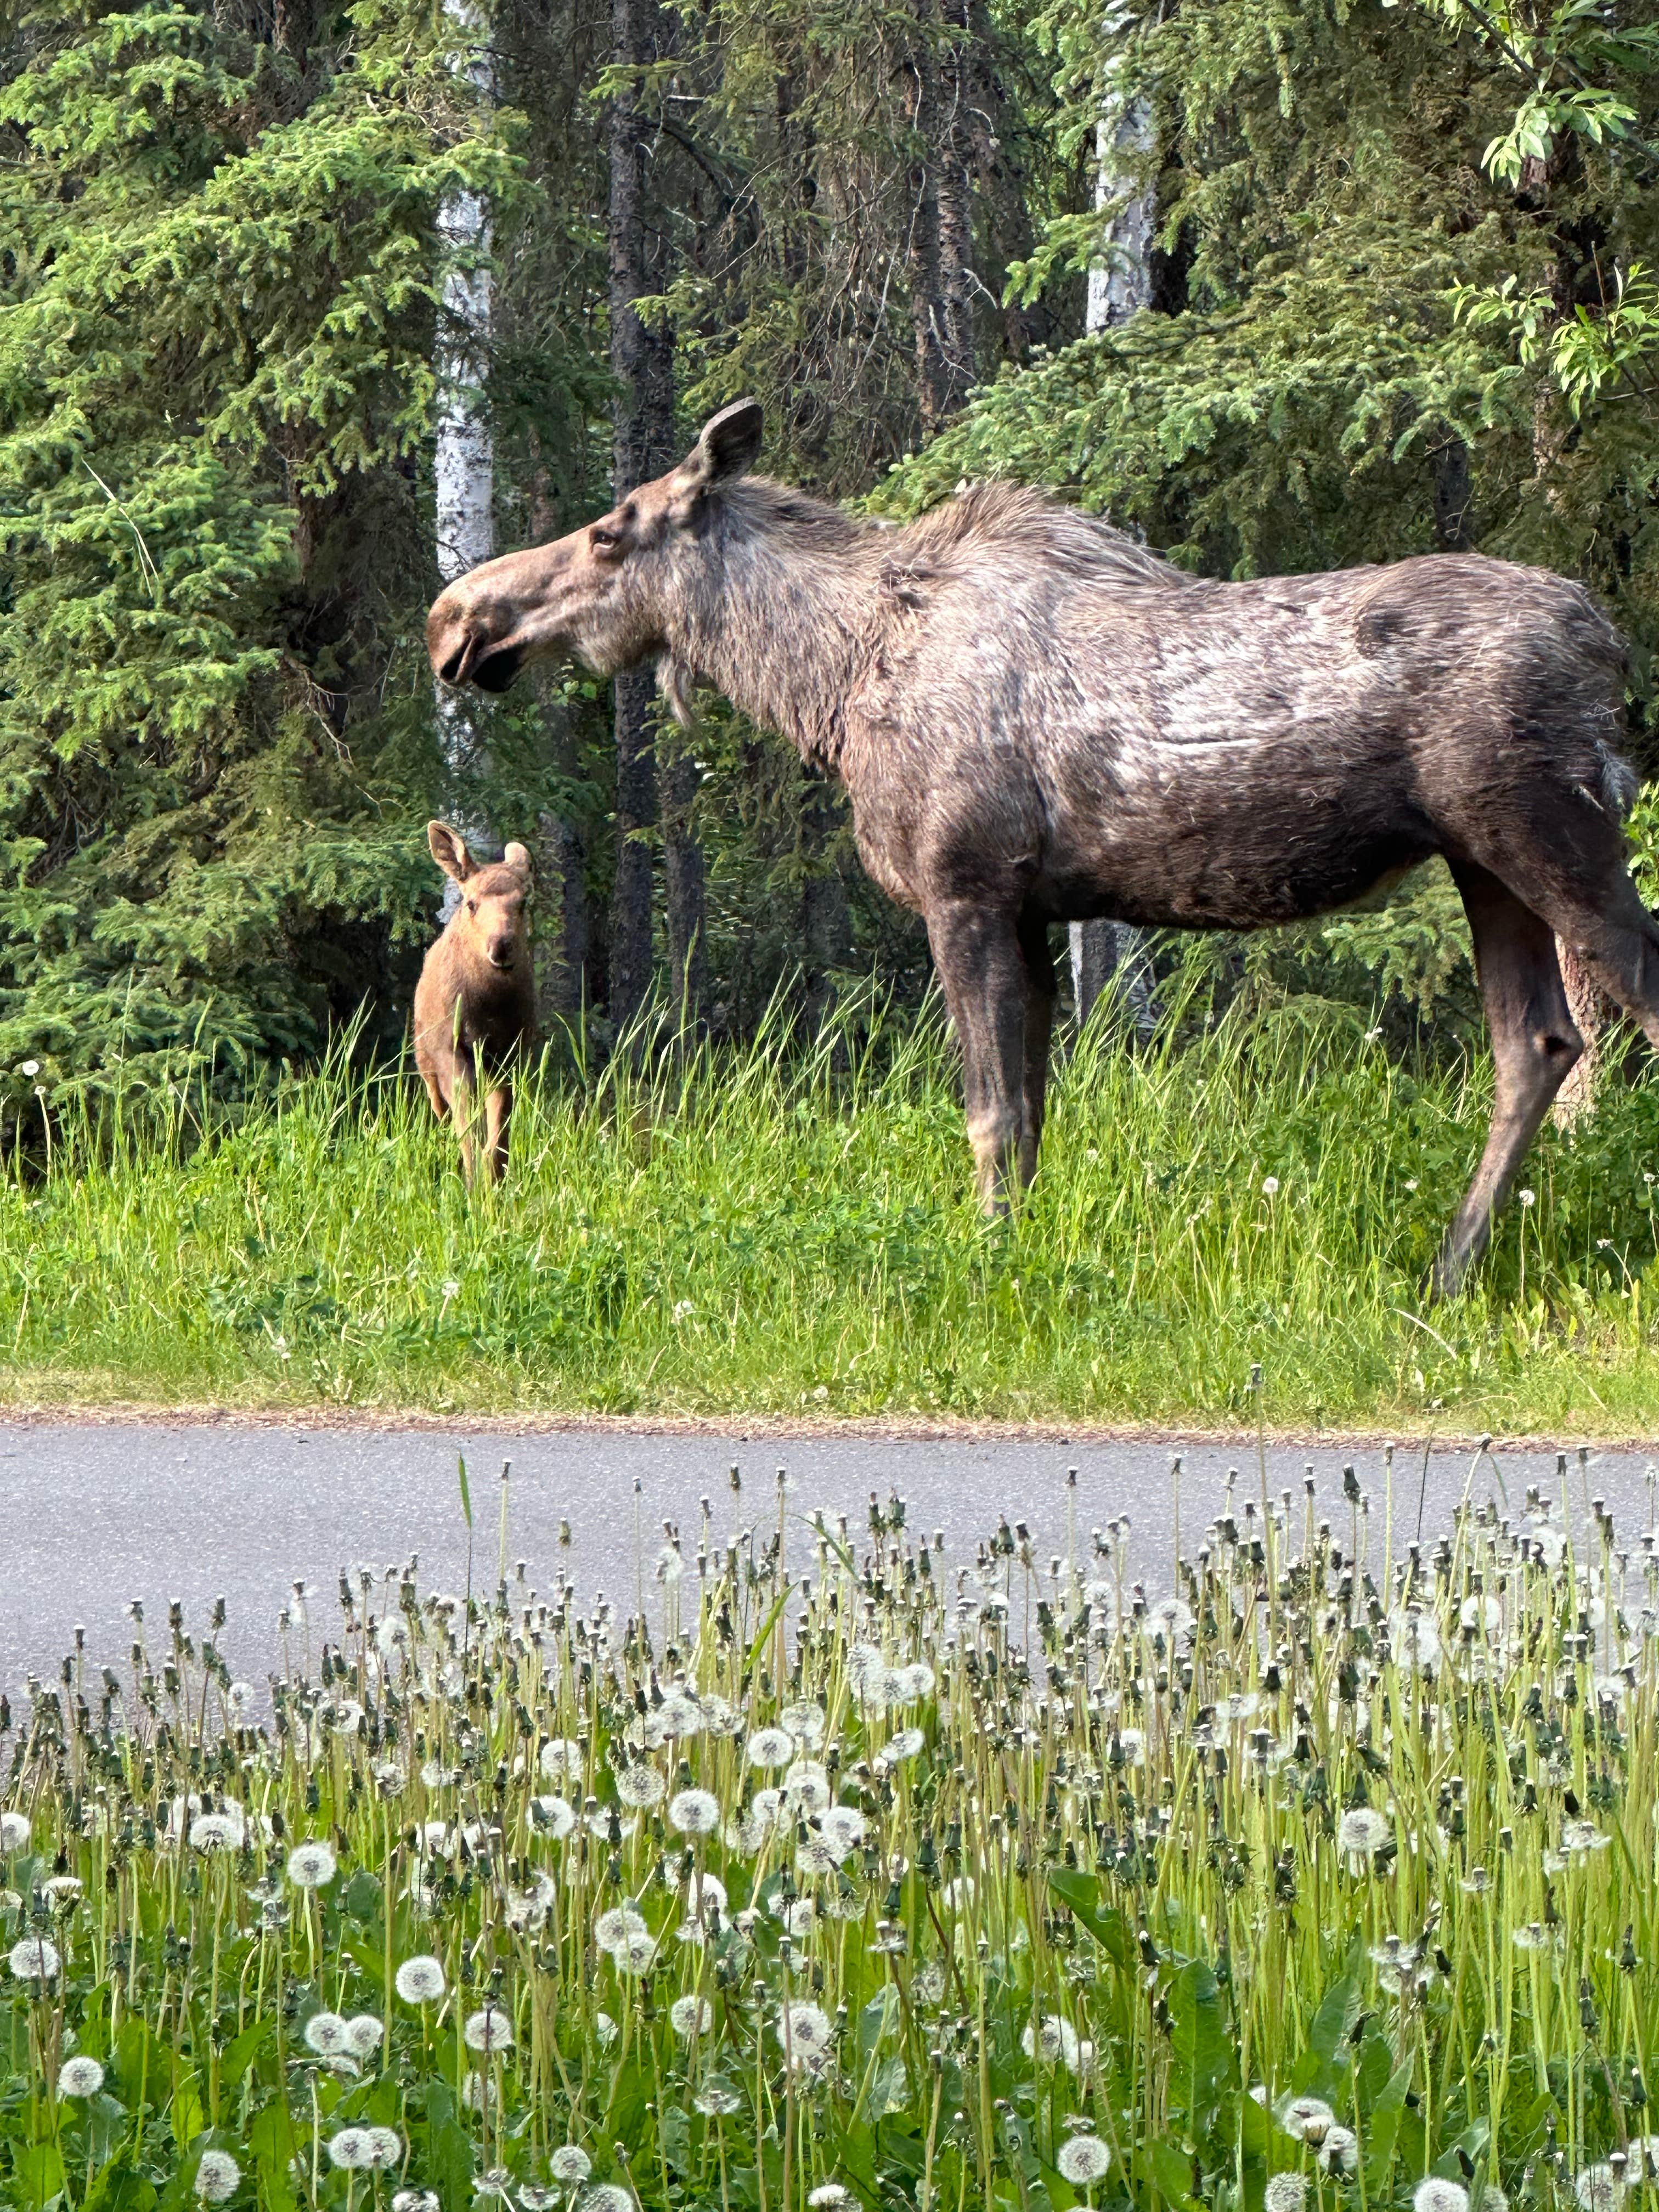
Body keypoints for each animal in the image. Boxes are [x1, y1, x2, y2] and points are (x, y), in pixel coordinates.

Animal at [413, 822, 535, 1186]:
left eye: (523, 902)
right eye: (470, 903)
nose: (501, 946)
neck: (490, 1011)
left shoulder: (510, 1056)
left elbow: (499, 1134)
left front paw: (494, 1180)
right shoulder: (453, 1052)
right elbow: (469, 1129)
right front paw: (474, 1184)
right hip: (426, 1063)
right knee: (443, 1114)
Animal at [431, 400, 1659, 1291]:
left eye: (610, 532)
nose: (456, 619)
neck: (827, 683)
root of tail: (1608, 644)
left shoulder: (962, 885)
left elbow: (988, 1111)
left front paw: (983, 1269)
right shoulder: (1028, 910)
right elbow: (1027, 1120)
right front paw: (1017, 1253)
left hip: (1552, 834)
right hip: (1484, 861)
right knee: (1538, 1043)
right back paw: (1448, 1273)